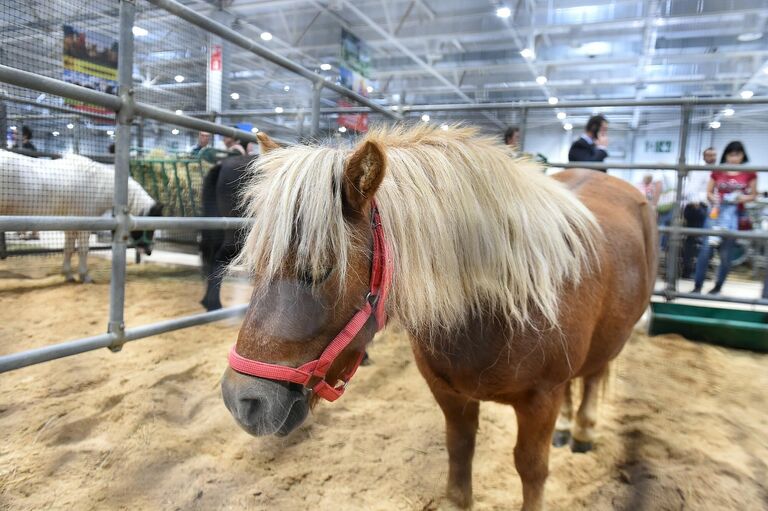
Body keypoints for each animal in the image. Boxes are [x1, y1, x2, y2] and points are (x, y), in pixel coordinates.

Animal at [0, 148, 162, 284]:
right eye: (149, 227)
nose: (149, 251)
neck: (95, 185)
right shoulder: (84, 225)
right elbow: (83, 249)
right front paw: (85, 276)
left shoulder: (70, 224)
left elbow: (69, 248)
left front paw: (68, 275)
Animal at [220, 125, 656, 511]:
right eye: (257, 264)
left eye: (321, 270)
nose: (241, 401)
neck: (499, 307)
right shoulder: (449, 393)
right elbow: (460, 452)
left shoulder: (540, 400)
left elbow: (532, 469)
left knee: (593, 377)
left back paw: (582, 430)